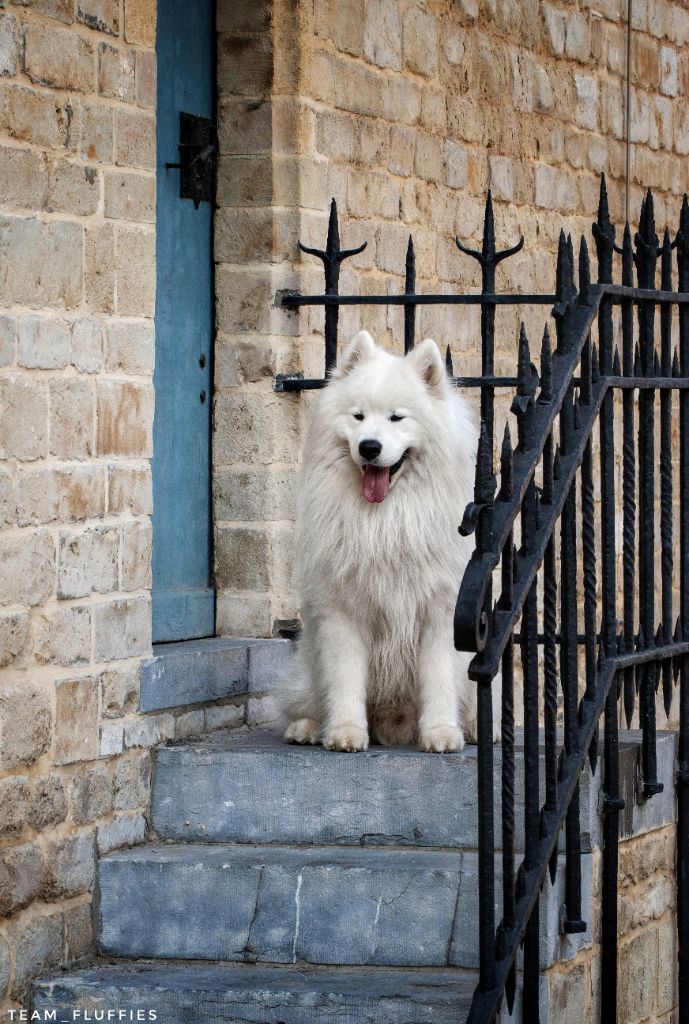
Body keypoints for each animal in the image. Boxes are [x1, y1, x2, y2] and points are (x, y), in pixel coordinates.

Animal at [280, 329, 499, 753]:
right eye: (358, 416)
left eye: (398, 417)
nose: (369, 447)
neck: (386, 519)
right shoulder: (343, 613)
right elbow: (345, 679)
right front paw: (345, 732)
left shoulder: (441, 611)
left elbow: (439, 679)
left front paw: (441, 733)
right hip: (310, 662)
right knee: (311, 698)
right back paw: (310, 728)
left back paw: (479, 727)